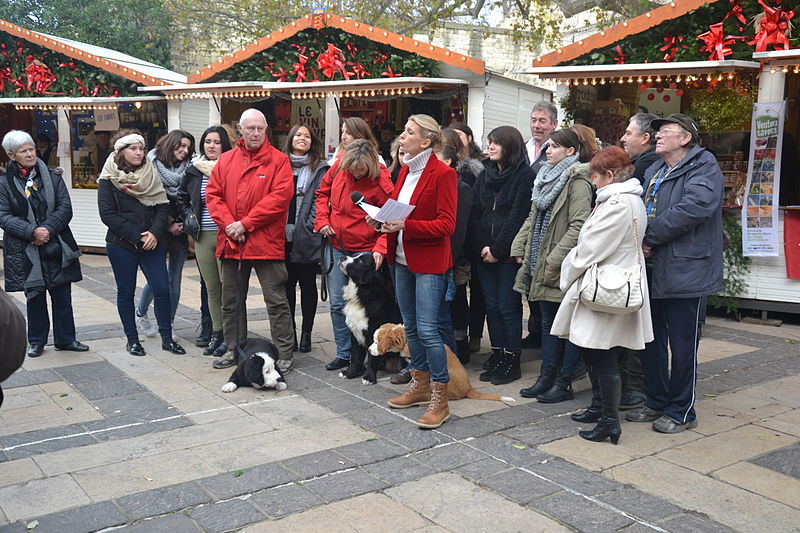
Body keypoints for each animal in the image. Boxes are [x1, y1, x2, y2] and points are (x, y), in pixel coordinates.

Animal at [338, 252, 404, 382]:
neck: (364, 296)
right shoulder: (355, 332)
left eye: (360, 261)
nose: (341, 257)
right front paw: (350, 372)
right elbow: (355, 356)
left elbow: (372, 359)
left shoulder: (373, 333)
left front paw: (369, 377)